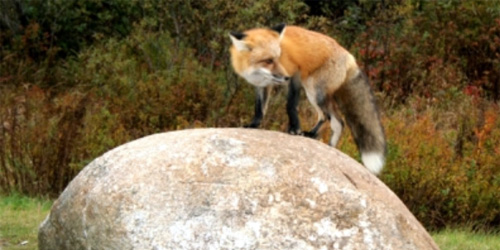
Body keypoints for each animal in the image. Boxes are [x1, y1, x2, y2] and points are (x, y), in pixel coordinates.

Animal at [229, 24, 384, 175]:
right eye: (268, 61)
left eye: (279, 57)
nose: (285, 77)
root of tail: (349, 56)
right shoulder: (262, 85)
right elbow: (259, 109)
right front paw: (253, 125)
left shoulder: (295, 75)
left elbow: (290, 105)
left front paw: (295, 128)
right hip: (315, 94)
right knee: (331, 119)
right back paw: (319, 140)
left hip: (314, 92)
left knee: (333, 120)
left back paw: (321, 141)